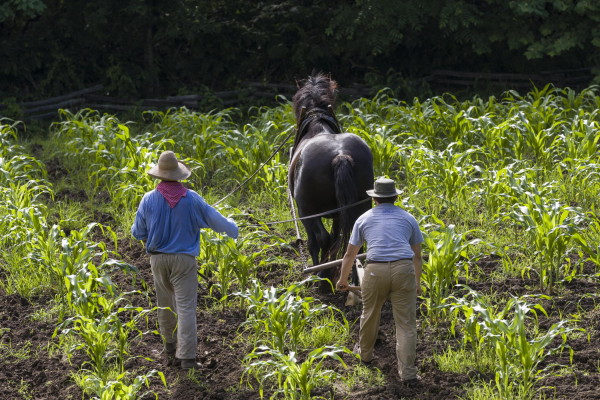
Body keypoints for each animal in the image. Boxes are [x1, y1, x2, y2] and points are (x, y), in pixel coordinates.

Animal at [288, 74, 372, 282]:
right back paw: (353, 277)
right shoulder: (339, 214)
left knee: (320, 239)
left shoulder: (306, 213)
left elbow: (316, 241)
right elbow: (337, 237)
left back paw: (321, 275)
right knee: (355, 241)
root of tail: (340, 155)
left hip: (307, 211)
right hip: (361, 204)